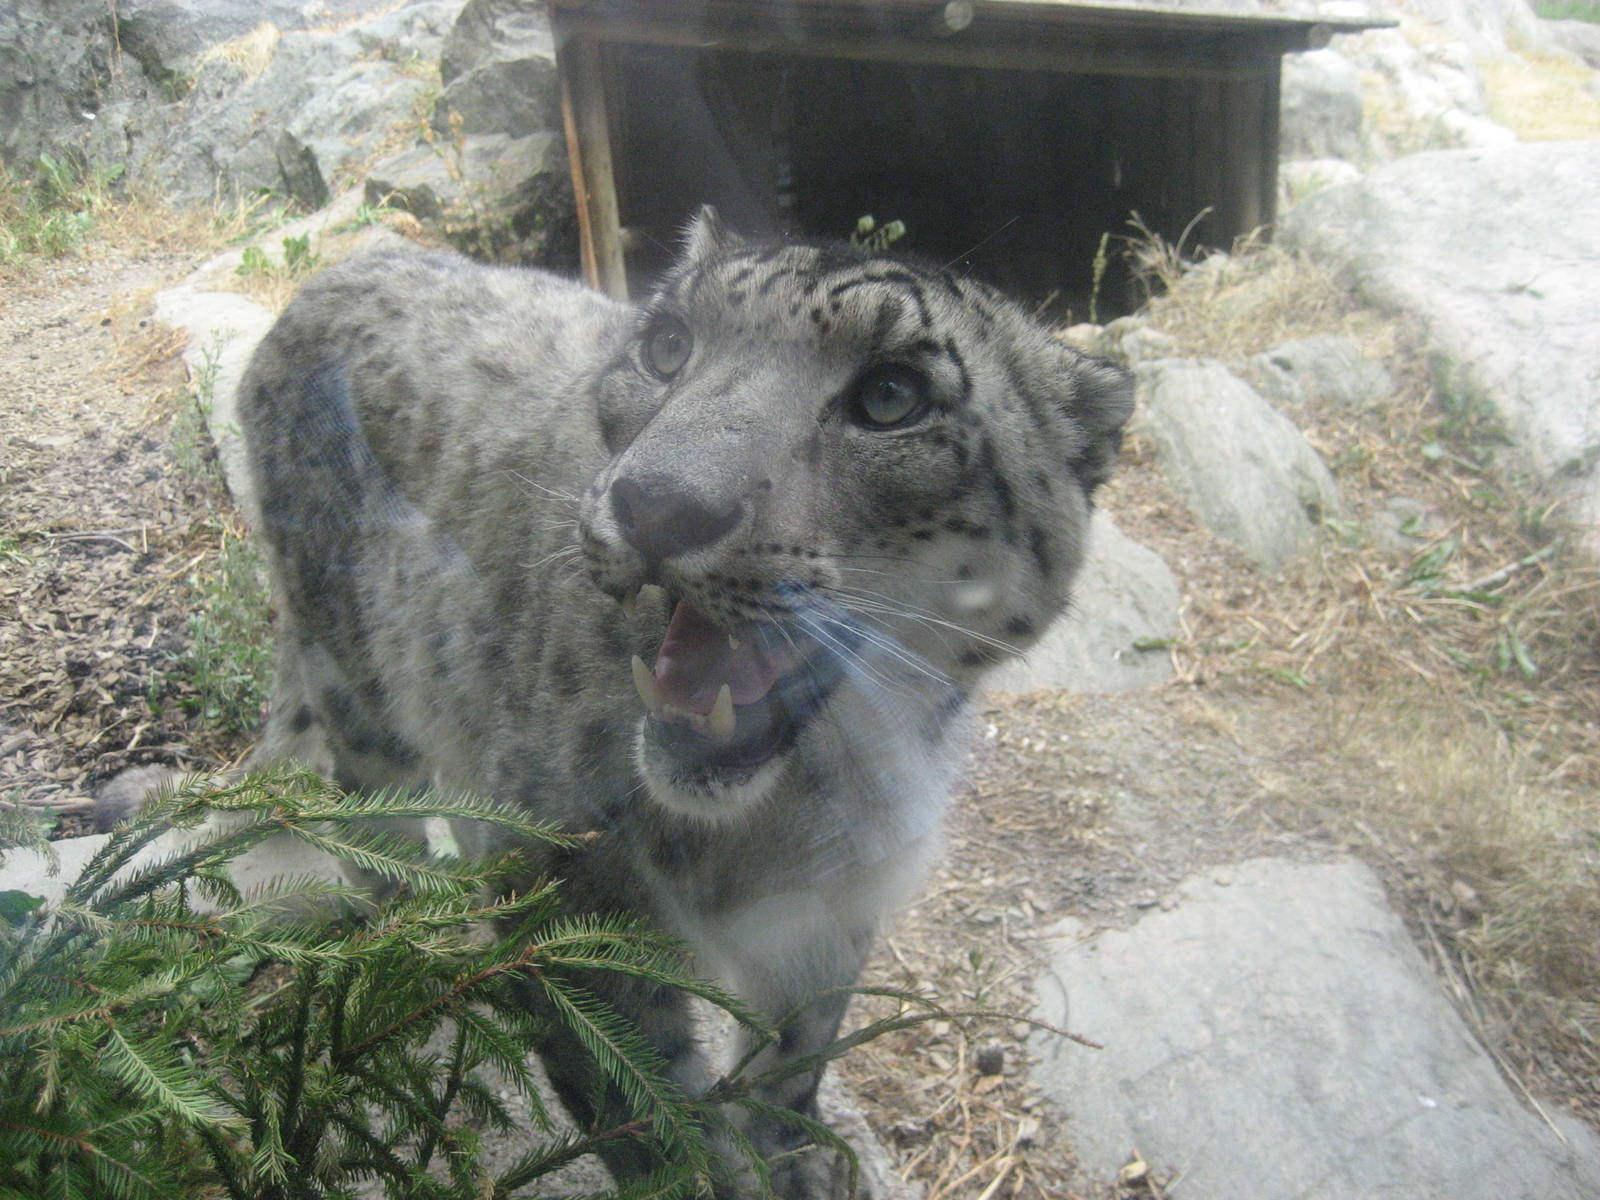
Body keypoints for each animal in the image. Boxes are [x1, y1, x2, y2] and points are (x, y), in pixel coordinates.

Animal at [234, 208, 1133, 1198]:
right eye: (668, 344)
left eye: (894, 395)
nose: (658, 505)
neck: (801, 804)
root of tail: (337, 273)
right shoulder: (568, 900)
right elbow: (642, 1104)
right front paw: (708, 1164)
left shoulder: (832, 912)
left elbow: (795, 1057)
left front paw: (797, 1159)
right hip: (357, 680)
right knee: (370, 819)